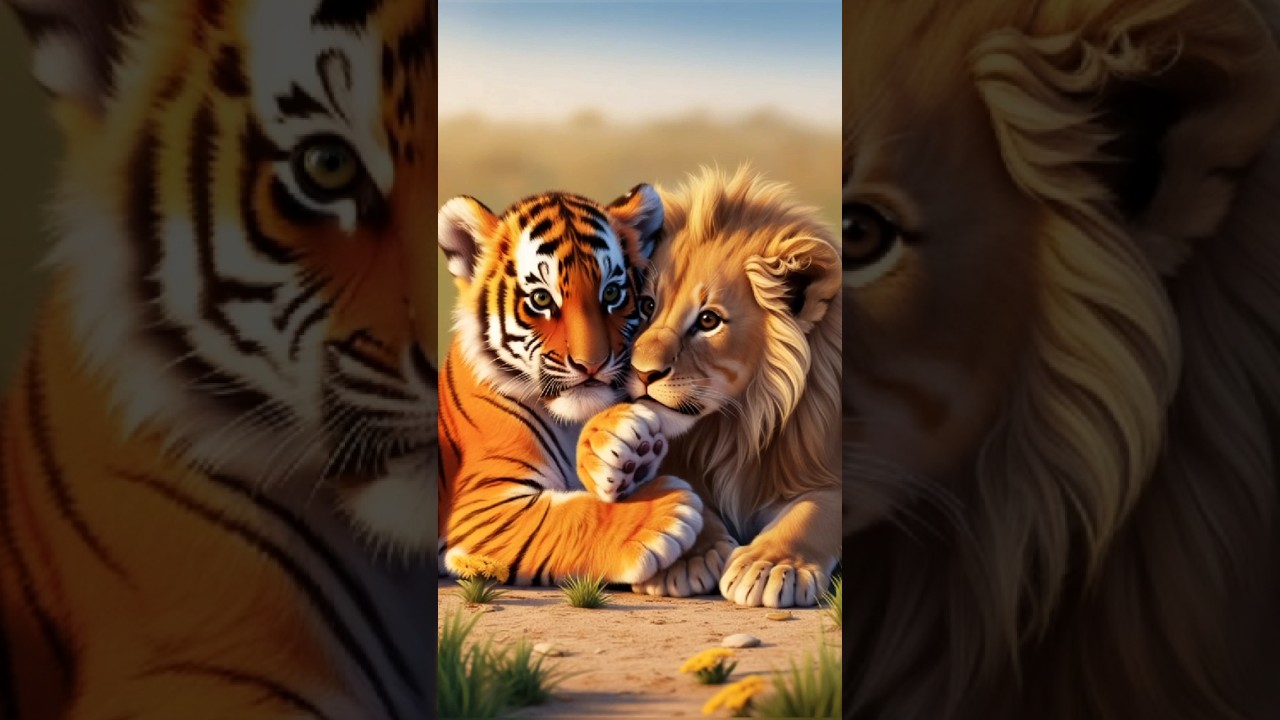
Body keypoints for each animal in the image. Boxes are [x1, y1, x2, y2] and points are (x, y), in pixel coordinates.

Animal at [436, 186, 705, 587]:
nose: (590, 364)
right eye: (541, 299)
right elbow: (567, 519)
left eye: (611, 294)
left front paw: (623, 442)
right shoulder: (482, 508)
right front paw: (663, 512)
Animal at [578, 166, 842, 608]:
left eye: (708, 321)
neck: (734, 426)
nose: (644, 373)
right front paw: (686, 559)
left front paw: (770, 567)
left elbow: (817, 508)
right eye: (647, 306)